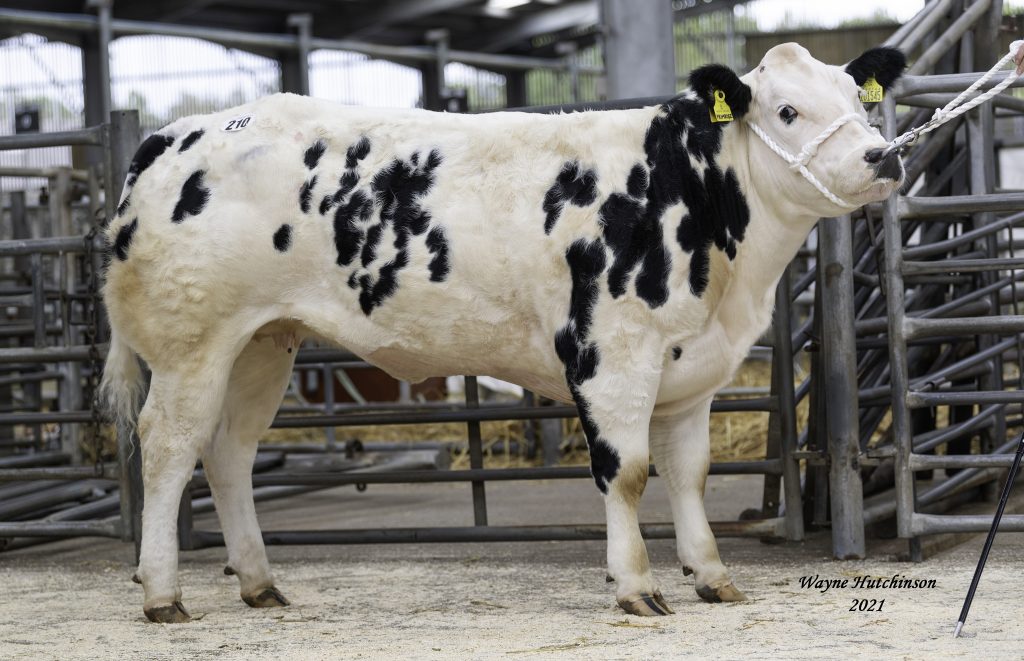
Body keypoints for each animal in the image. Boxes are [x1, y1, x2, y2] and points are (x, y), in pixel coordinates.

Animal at [101, 43, 905, 626]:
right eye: (789, 109)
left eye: (857, 101)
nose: (882, 154)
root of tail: (171, 136)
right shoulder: (612, 356)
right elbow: (629, 472)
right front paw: (636, 586)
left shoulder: (691, 370)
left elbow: (691, 475)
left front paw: (711, 576)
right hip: (192, 344)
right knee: (169, 446)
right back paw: (163, 593)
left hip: (263, 341)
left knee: (229, 451)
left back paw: (260, 583)